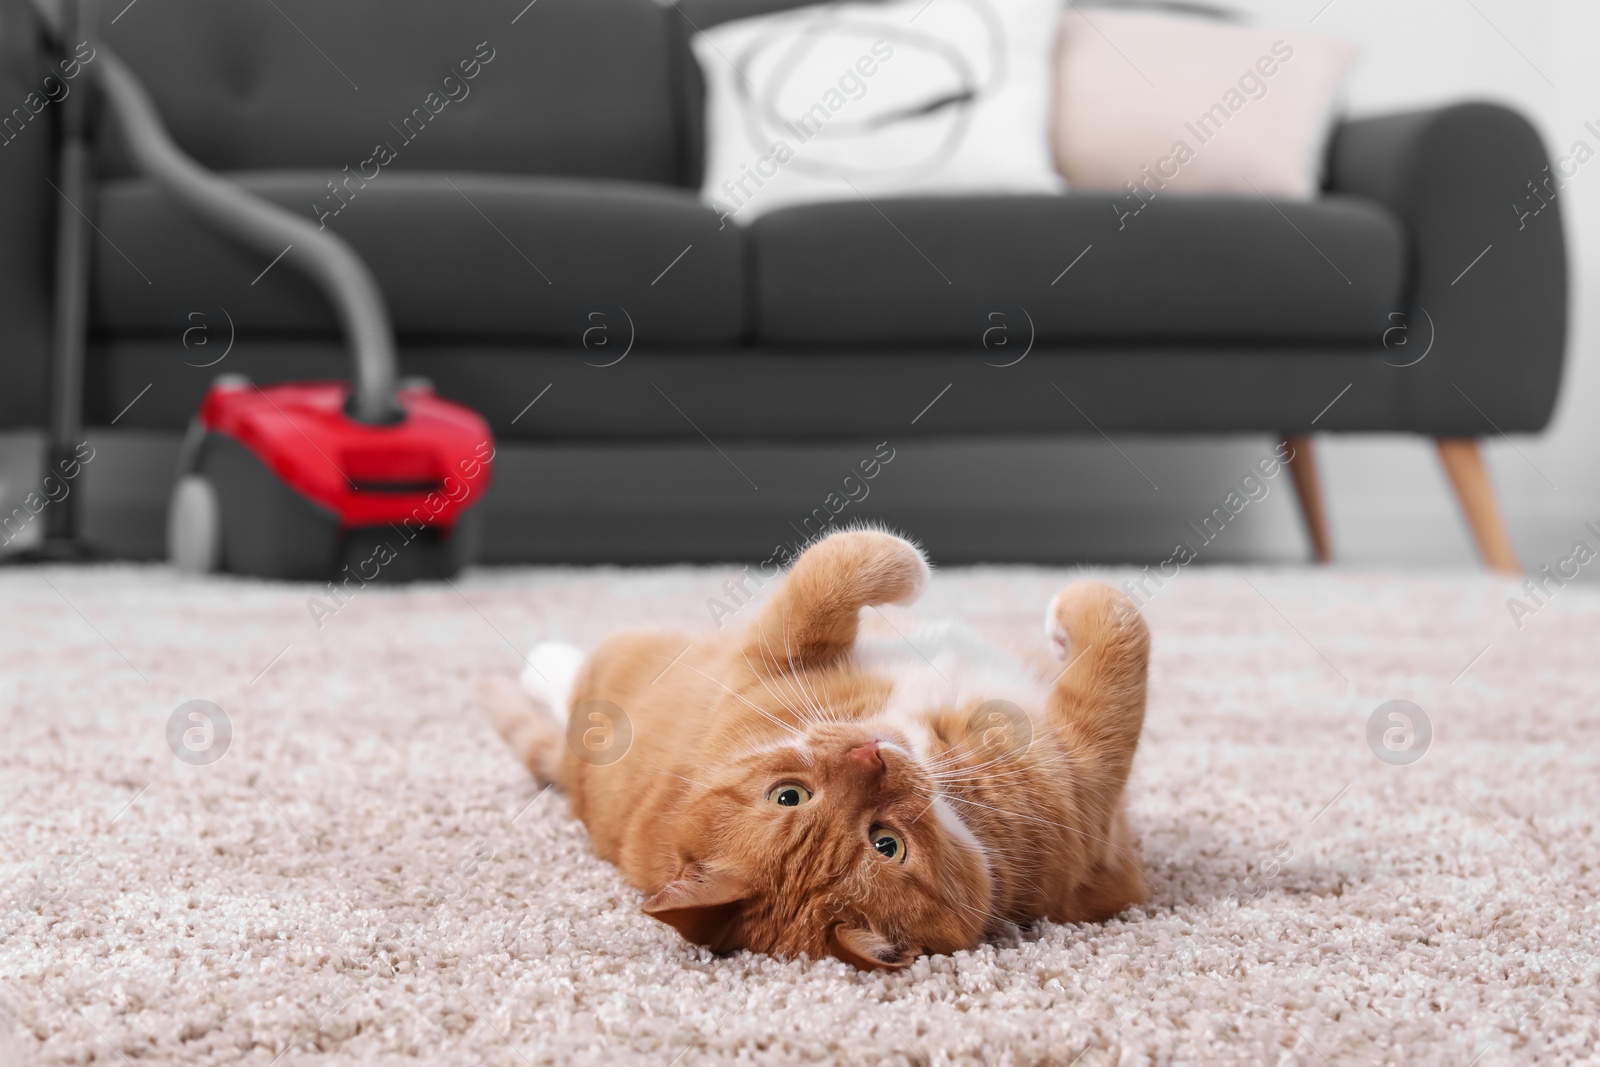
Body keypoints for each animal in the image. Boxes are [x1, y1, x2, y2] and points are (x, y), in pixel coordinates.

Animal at [476, 531, 1152, 972]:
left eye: (788, 796)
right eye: (887, 844)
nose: (871, 755)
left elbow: (827, 576)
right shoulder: (1086, 775)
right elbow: (1119, 633)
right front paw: (916, 570)